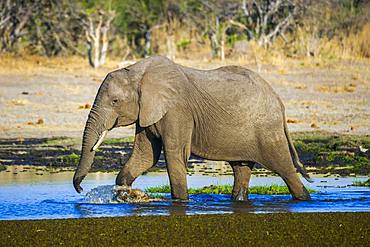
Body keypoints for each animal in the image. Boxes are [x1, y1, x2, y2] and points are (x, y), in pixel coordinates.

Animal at [73, 55, 312, 201]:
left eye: (114, 101)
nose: (80, 188)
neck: (137, 72)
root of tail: (279, 100)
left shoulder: (177, 111)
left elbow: (174, 155)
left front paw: (180, 201)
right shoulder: (148, 112)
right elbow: (145, 156)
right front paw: (124, 192)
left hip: (268, 130)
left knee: (284, 168)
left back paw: (304, 199)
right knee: (241, 168)